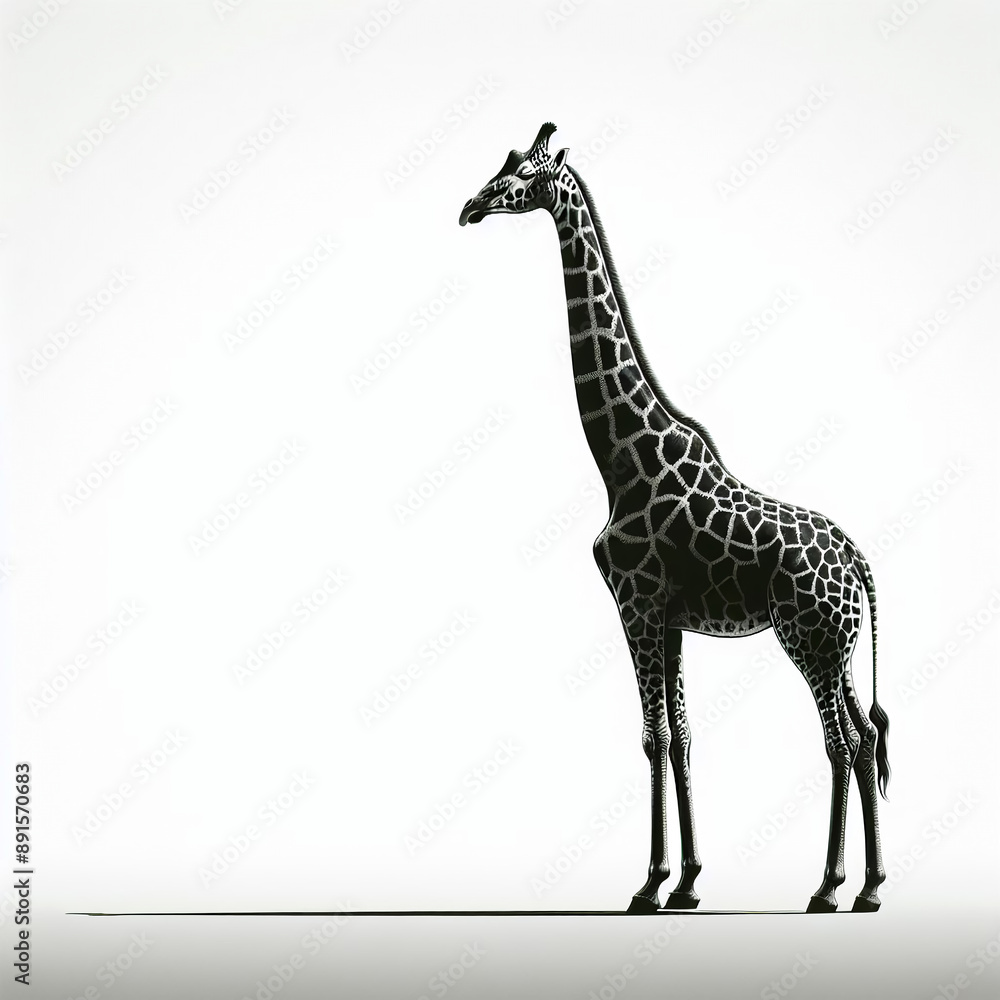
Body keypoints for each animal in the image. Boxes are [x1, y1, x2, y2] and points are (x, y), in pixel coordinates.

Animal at [459, 123, 891, 914]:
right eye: (502, 168)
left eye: (522, 178)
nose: (470, 207)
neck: (620, 460)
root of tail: (860, 563)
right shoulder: (669, 617)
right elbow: (682, 735)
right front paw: (686, 882)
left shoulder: (635, 604)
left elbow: (652, 737)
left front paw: (649, 884)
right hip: (841, 645)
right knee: (867, 736)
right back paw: (871, 887)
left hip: (808, 639)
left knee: (840, 743)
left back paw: (826, 887)